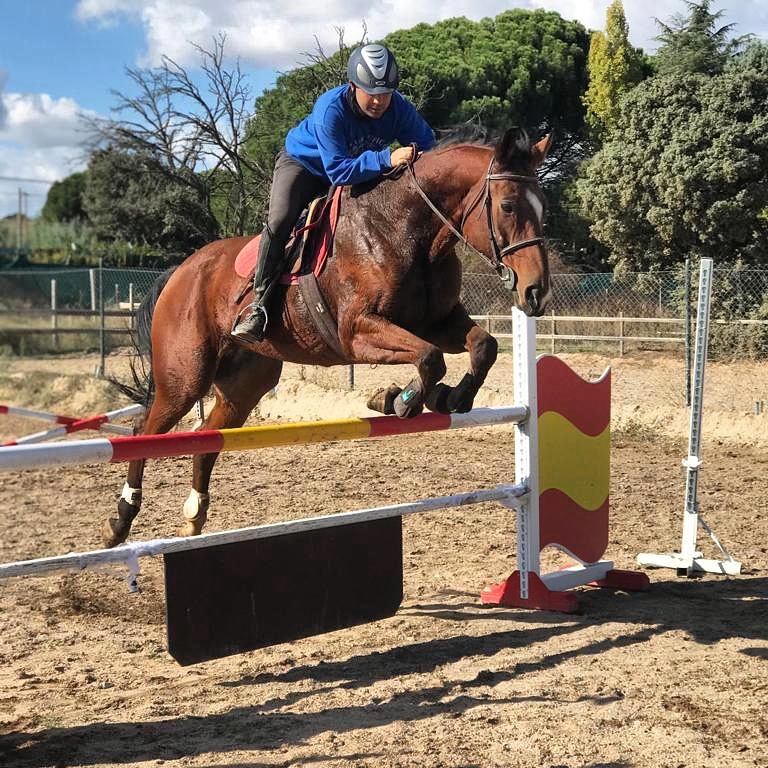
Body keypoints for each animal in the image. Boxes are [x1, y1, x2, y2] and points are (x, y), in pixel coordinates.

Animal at [103, 127, 552, 547]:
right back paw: (122, 520)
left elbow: (483, 347)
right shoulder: (357, 331)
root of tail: (181, 270)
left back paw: (194, 516)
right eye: (508, 206)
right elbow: (429, 358)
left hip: (245, 384)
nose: (536, 293)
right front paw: (397, 400)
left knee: (209, 436)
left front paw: (450, 397)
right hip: (186, 377)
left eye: (542, 209)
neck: (407, 229)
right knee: (145, 428)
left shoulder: (439, 322)